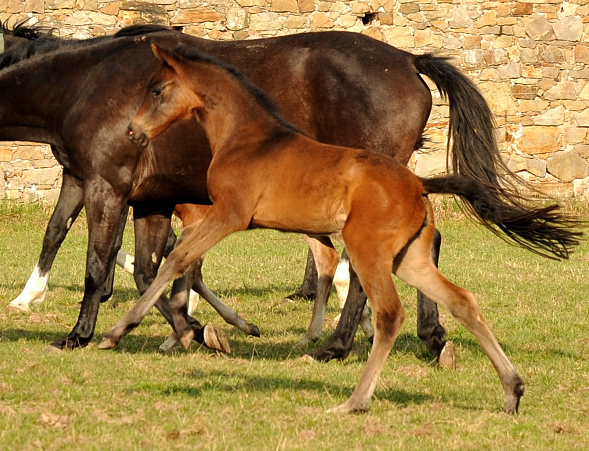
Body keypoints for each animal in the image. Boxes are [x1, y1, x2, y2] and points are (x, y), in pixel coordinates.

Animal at [0, 24, 532, 358]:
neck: (86, 83)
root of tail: (406, 58)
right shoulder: (133, 194)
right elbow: (131, 261)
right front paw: (193, 331)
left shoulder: (106, 187)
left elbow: (98, 263)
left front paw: (78, 334)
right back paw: (429, 336)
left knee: (369, 264)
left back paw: (339, 345)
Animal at [102, 45, 580, 414]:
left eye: (157, 90)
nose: (132, 130)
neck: (247, 137)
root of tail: (418, 183)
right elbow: (181, 265)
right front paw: (185, 329)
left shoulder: (228, 215)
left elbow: (175, 262)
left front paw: (121, 332)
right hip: (408, 258)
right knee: (462, 301)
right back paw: (511, 390)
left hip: (369, 250)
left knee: (389, 313)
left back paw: (354, 395)